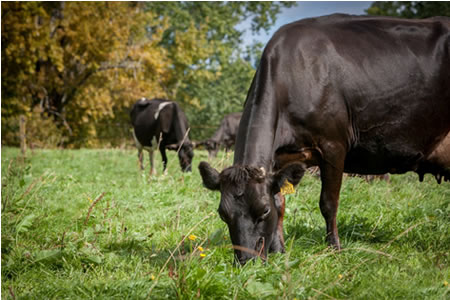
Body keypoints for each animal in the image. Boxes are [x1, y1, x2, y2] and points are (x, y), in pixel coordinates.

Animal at [199, 14, 448, 264]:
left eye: (263, 211)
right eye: (223, 214)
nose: (245, 261)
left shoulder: (333, 146)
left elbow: (328, 203)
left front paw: (334, 248)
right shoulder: (280, 159)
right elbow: (281, 202)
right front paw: (280, 250)